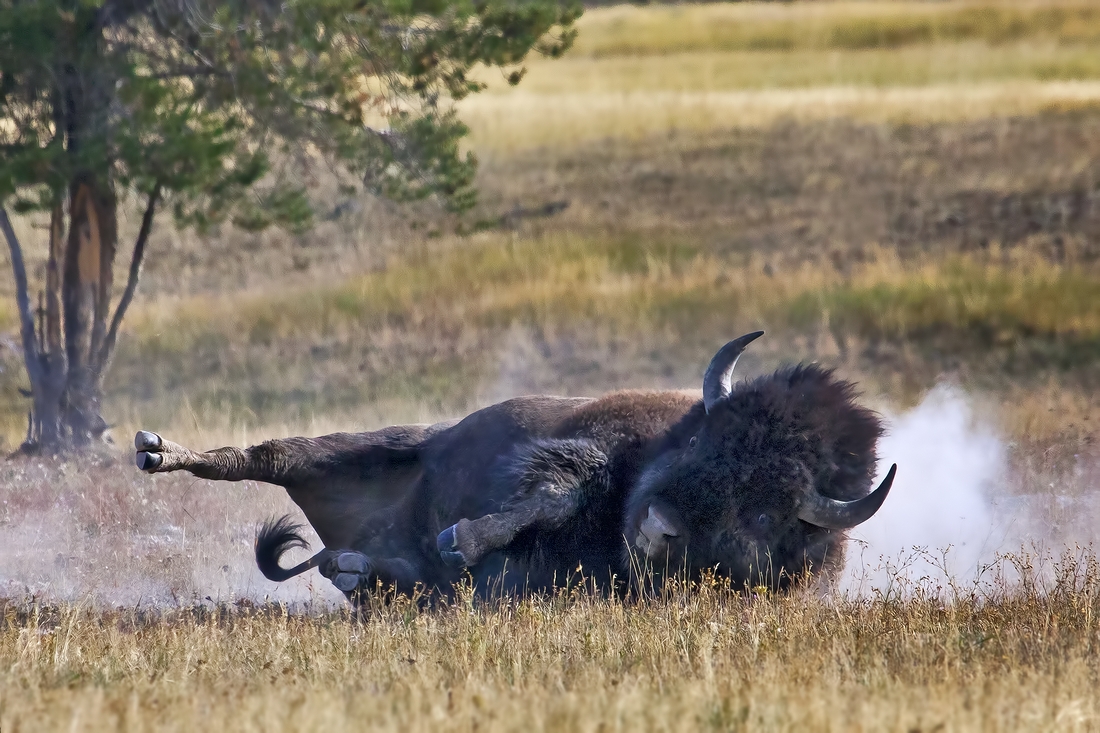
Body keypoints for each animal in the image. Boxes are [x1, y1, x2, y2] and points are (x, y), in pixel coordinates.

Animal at [135, 332, 893, 598]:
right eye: (704, 443)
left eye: (764, 510)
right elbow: (555, 488)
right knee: (265, 456)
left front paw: (459, 542)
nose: (659, 528)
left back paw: (355, 567)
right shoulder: (586, 454)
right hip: (377, 445)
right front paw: (464, 537)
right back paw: (156, 450)